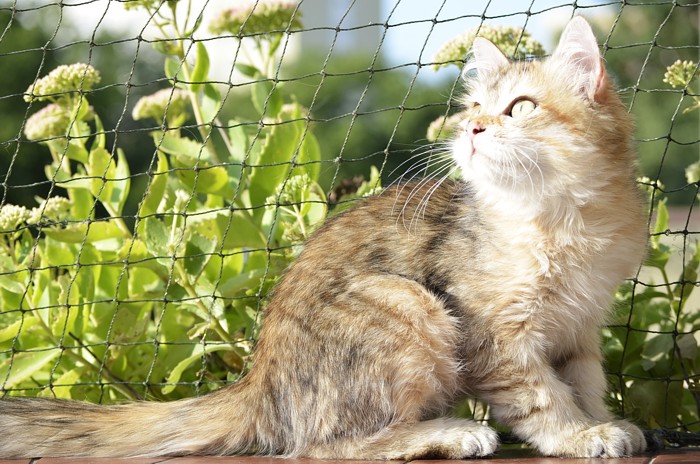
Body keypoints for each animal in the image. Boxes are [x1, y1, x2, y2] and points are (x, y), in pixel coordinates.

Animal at [0, 16, 648, 459]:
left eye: (521, 107)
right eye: (473, 108)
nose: (473, 130)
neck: (563, 221)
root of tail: (257, 385)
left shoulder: (579, 328)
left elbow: (586, 385)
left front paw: (607, 423)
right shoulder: (498, 335)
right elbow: (543, 399)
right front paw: (581, 435)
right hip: (408, 307)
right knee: (330, 446)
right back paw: (451, 432)